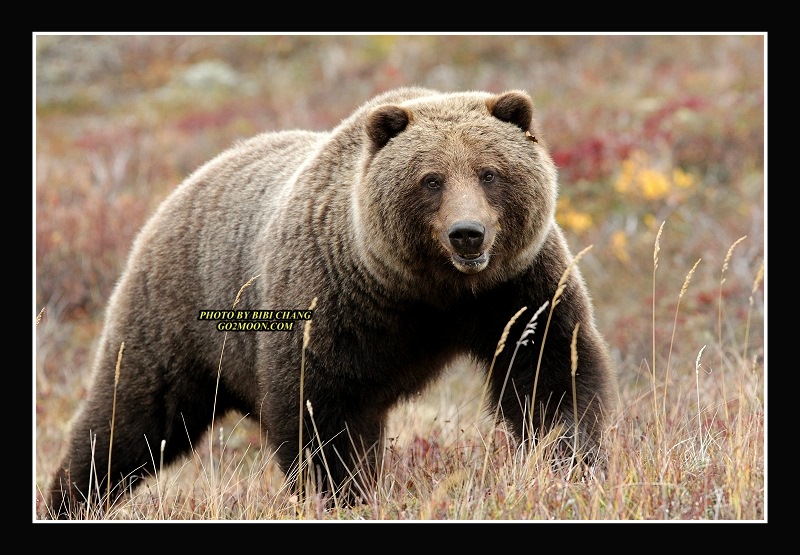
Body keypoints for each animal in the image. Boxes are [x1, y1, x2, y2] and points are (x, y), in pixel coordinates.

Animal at [45, 87, 616, 518]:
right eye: (431, 179)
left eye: (489, 172)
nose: (467, 234)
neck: (429, 291)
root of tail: (182, 188)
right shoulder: (335, 303)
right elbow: (320, 409)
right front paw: (341, 495)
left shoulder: (516, 290)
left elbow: (549, 372)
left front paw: (572, 463)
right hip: (179, 317)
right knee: (131, 420)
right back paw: (70, 498)